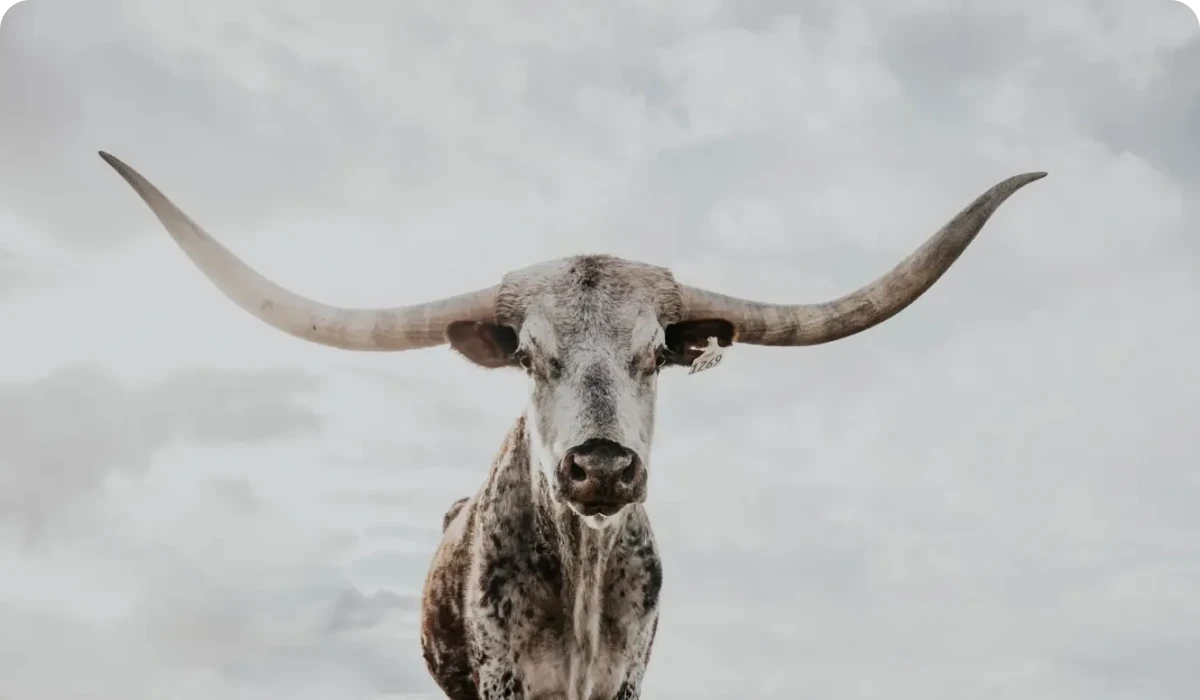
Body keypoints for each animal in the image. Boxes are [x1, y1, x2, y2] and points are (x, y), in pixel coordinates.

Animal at [98, 151, 1044, 699]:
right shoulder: (504, 678)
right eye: (529, 354)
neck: (583, 581)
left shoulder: (627, 679)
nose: (601, 468)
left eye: (656, 352)